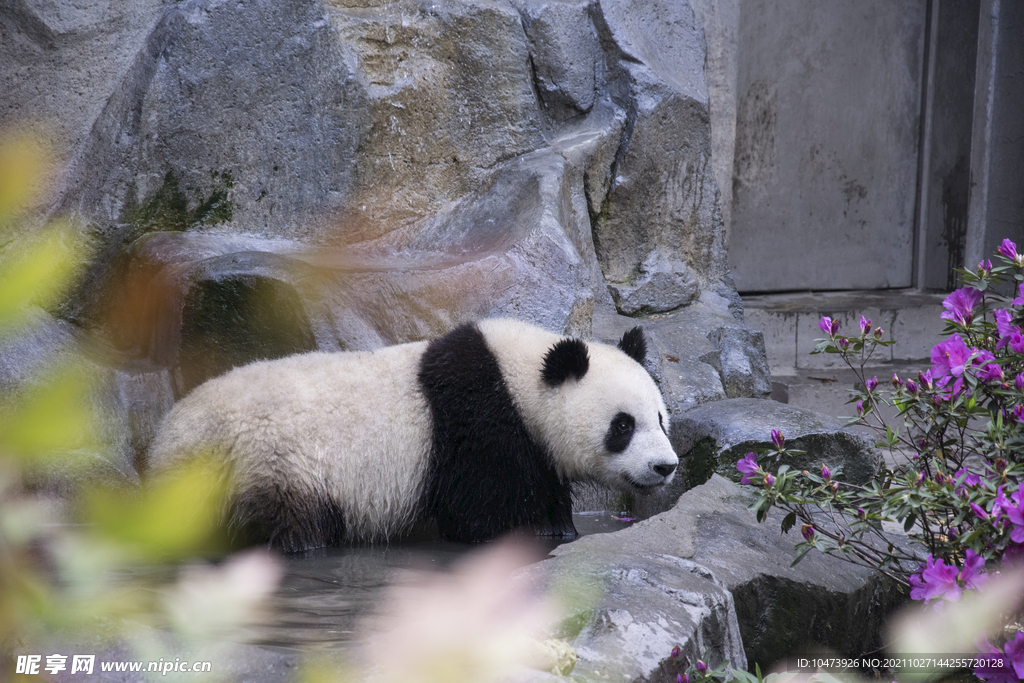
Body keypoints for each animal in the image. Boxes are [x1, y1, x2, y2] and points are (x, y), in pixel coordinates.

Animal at [148, 319, 679, 548]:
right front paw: (527, 533)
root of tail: (165, 443)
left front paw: (560, 528)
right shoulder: (474, 420)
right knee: (289, 522)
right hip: (268, 461)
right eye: (623, 426)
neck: (520, 380)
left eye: (660, 419)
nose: (666, 466)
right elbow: (483, 508)